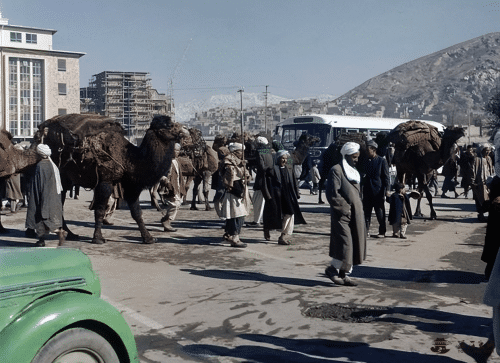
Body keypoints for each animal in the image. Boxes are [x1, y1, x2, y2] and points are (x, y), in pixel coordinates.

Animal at [33, 114, 189, 245]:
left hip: (64, 182)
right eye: (169, 125)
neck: (128, 158)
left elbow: (137, 213)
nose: (186, 129)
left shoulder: (130, 186)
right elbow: (100, 210)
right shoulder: (105, 181)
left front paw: (148, 238)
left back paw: (69, 234)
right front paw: (98, 238)